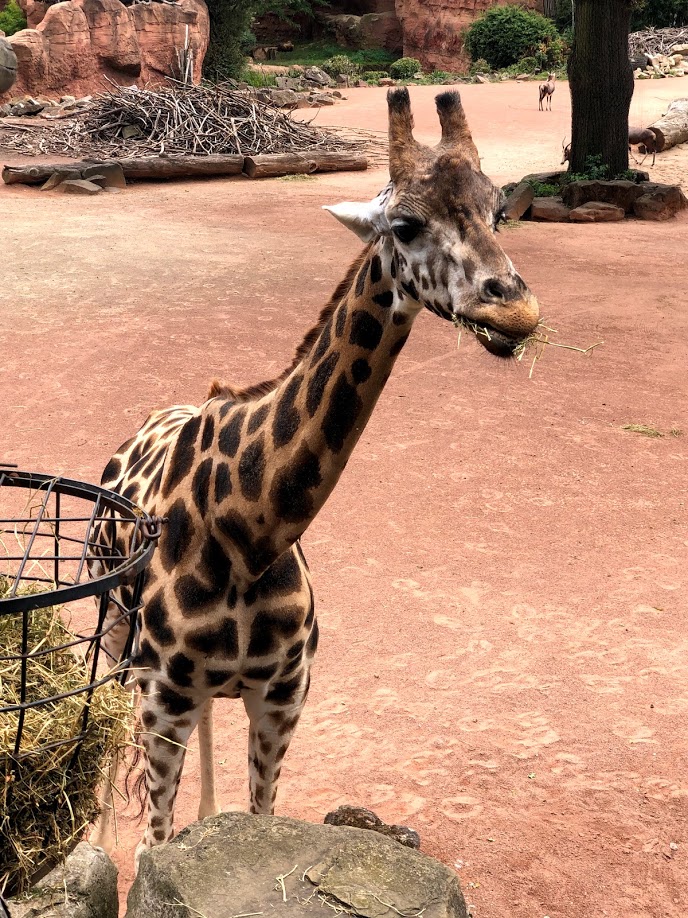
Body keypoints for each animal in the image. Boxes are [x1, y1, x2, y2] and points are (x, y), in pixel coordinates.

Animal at [90, 88, 540, 864]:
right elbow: (154, 845)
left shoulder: (283, 697)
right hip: (114, 632)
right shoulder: (161, 697)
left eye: (497, 211)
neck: (251, 529)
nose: (514, 309)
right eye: (404, 224)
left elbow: (262, 818)